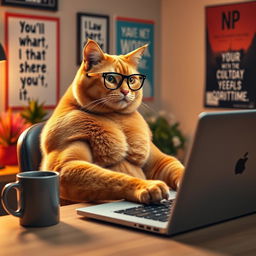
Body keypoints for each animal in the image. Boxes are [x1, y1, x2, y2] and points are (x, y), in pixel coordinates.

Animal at [39, 40, 184, 204]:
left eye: (132, 80)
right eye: (110, 79)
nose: (126, 92)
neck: (116, 117)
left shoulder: (161, 161)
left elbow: (176, 166)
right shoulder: (66, 166)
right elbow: (115, 178)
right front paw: (146, 186)